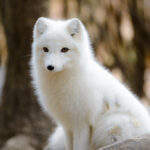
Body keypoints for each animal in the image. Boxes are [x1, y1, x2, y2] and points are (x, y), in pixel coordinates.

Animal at [30, 17, 150, 150]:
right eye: (45, 49)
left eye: (64, 49)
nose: (50, 67)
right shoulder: (67, 124)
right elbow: (69, 146)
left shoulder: (82, 123)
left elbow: (79, 147)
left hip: (111, 124)